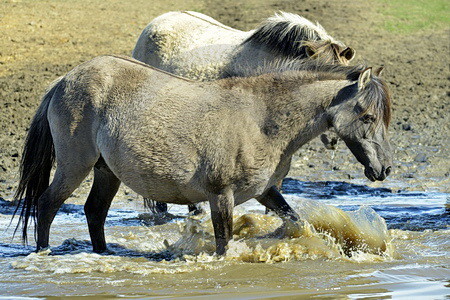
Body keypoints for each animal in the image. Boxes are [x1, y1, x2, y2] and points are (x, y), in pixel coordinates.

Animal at [14, 55, 390, 254]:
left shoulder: (266, 192)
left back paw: (103, 253)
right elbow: (223, 243)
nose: (384, 169)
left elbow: (296, 221)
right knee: (46, 204)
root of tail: (66, 79)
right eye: (368, 117)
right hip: (74, 166)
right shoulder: (220, 195)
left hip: (106, 172)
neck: (261, 120)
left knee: (94, 212)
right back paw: (43, 252)